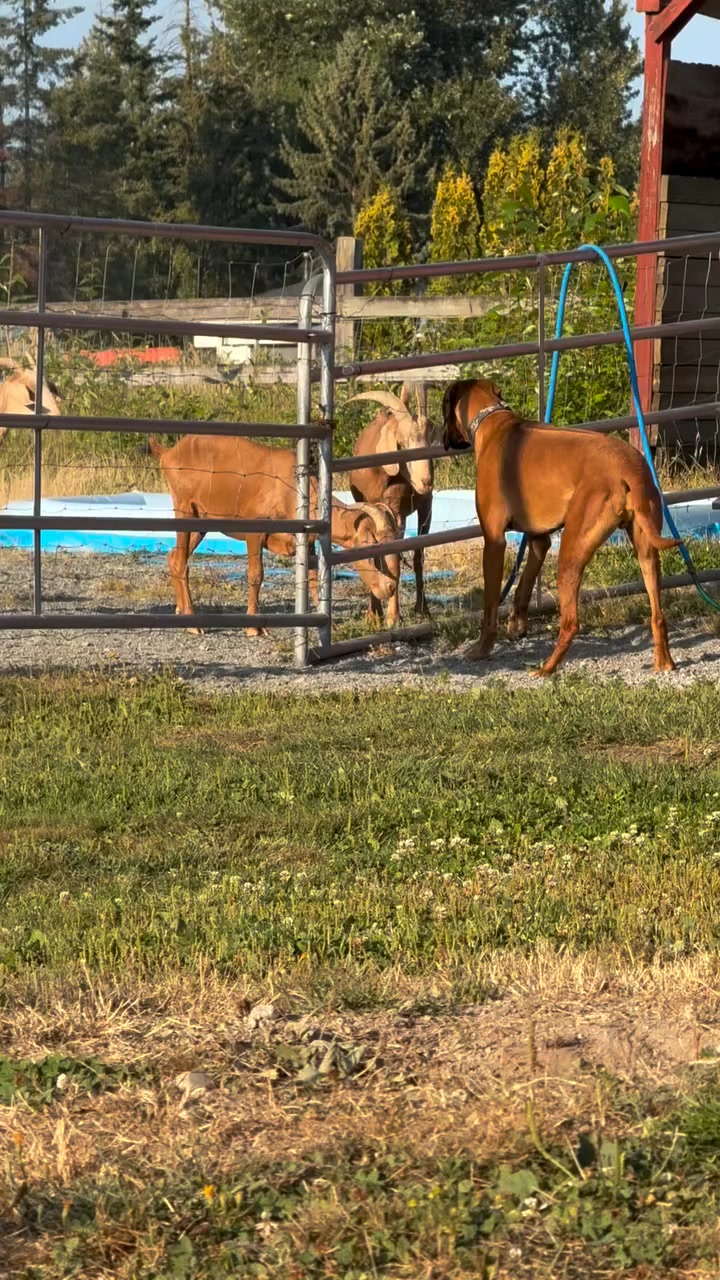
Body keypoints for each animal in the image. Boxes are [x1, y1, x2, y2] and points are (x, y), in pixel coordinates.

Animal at [149, 433, 401, 634]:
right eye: (372, 550)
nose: (390, 587)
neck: (294, 490)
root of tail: (169, 452)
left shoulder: (307, 541)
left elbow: (312, 579)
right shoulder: (255, 531)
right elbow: (256, 574)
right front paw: (254, 627)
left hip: (202, 520)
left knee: (173, 557)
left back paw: (181, 609)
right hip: (184, 508)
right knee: (181, 561)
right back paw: (192, 621)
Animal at [348, 382, 433, 621]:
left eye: (429, 440)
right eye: (402, 443)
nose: (426, 481)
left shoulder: (419, 508)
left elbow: (412, 555)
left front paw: (398, 614)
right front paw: (377, 614)